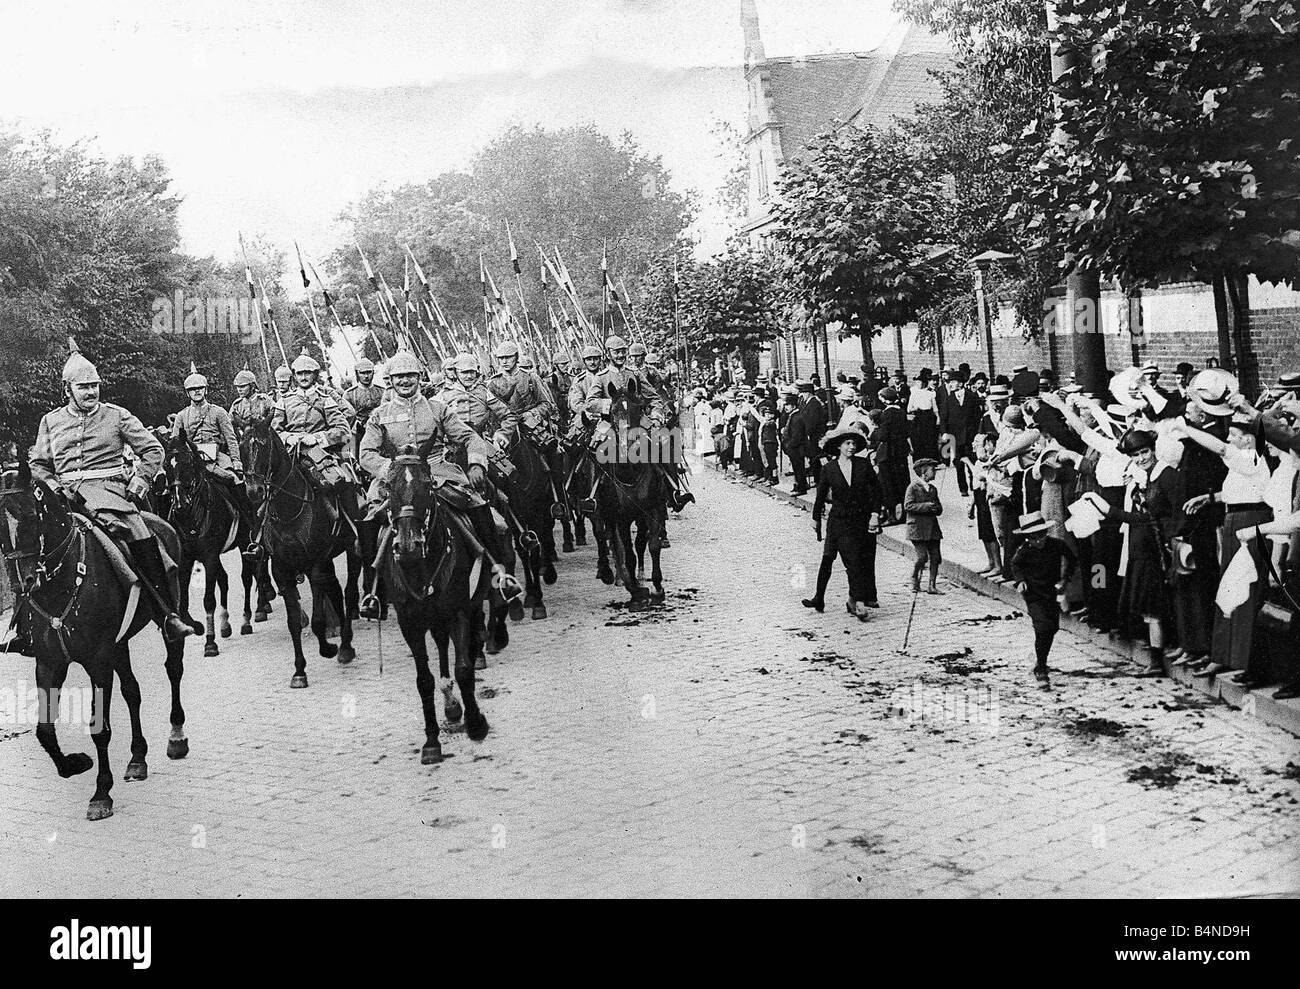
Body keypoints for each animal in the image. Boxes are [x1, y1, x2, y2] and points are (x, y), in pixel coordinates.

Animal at [0, 460, 191, 821]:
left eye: (31, 515)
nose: (23, 584)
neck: (60, 581)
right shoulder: (49, 662)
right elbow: (44, 730)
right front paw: (75, 764)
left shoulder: (97, 660)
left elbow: (99, 728)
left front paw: (101, 793)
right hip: (120, 645)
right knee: (132, 691)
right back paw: (137, 759)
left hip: (168, 619)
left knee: (173, 668)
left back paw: (176, 737)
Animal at [165, 431, 274, 655]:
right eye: (165, 466)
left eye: (187, 463)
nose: (180, 506)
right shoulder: (188, 558)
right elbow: (184, 601)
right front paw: (196, 626)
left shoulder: (209, 556)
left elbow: (208, 599)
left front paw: (209, 641)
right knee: (225, 579)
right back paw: (226, 624)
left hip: (245, 543)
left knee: (249, 575)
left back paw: (250, 617)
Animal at [240, 418, 358, 686]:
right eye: (240, 448)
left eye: (264, 447)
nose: (253, 491)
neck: (289, 510)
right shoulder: (282, 570)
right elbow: (293, 622)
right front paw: (299, 671)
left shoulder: (314, 565)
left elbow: (317, 620)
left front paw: (327, 648)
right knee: (336, 591)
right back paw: (344, 645)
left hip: (353, 549)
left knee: (349, 592)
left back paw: (345, 645)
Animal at [379, 441, 496, 764]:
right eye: (388, 486)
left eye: (428, 485)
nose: (408, 546)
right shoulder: (410, 623)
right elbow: (424, 681)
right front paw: (431, 741)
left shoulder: (458, 611)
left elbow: (464, 669)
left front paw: (476, 723)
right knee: (442, 647)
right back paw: (451, 706)